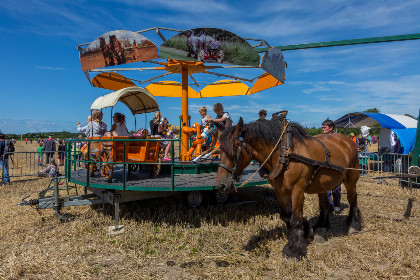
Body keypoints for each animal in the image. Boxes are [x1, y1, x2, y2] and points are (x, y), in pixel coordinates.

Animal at [217, 117, 360, 260]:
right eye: (220, 150)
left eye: (234, 148)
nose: (221, 185)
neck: (284, 153)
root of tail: (347, 141)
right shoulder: (280, 191)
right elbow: (286, 215)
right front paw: (306, 229)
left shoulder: (298, 190)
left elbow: (295, 218)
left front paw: (294, 249)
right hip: (323, 183)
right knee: (324, 205)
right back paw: (321, 229)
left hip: (351, 180)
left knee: (352, 199)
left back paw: (353, 224)